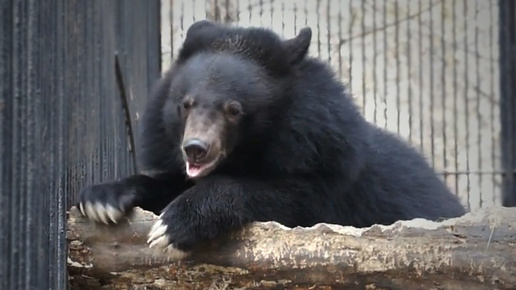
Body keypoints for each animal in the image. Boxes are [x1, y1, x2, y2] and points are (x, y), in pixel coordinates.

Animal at [77, 19, 468, 258]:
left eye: (234, 110)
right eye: (185, 105)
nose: (196, 149)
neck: (250, 151)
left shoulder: (324, 160)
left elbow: (286, 196)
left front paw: (170, 230)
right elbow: (168, 181)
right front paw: (101, 199)